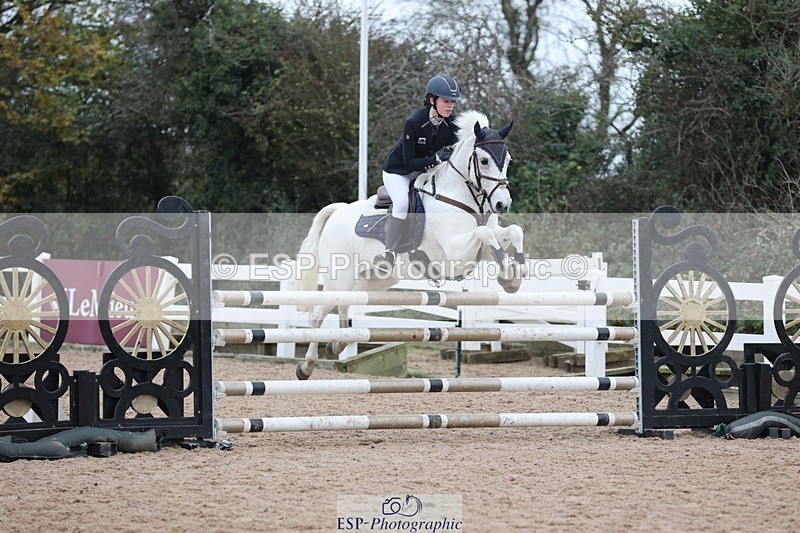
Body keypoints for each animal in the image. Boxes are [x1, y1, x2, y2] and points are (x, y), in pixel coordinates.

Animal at [293, 110, 527, 379]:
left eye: (507, 160)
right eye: (484, 160)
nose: (502, 204)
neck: (463, 198)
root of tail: (338, 210)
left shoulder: (484, 247)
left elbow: (512, 232)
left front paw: (514, 275)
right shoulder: (455, 253)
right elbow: (485, 234)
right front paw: (509, 273)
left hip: (371, 281)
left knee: (345, 306)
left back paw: (337, 344)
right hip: (339, 279)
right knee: (317, 315)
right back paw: (306, 366)